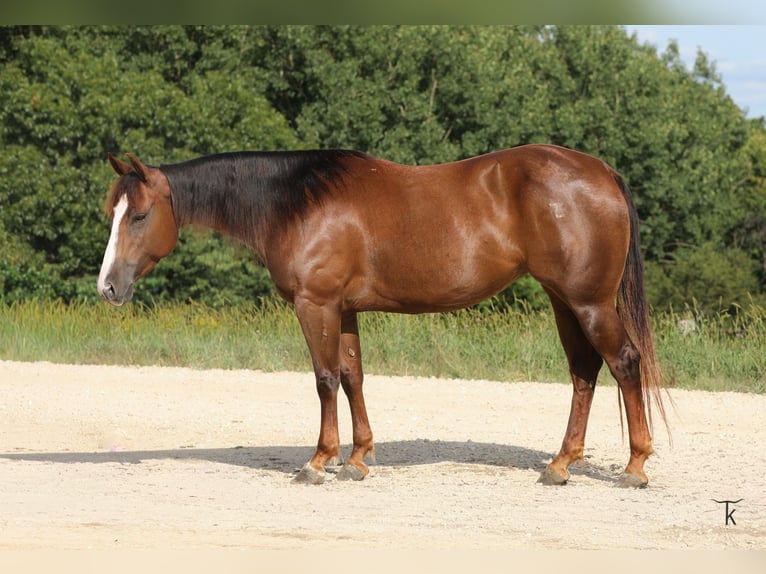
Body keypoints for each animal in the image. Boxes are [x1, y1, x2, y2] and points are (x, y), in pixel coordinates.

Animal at [97, 144, 668, 487]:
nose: (108, 287)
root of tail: (603, 172)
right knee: (584, 373)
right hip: (563, 300)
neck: (299, 204)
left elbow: (325, 379)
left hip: (588, 302)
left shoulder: (316, 305)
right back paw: (561, 464)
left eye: (140, 215)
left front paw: (319, 460)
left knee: (624, 363)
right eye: (113, 214)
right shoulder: (345, 309)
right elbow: (353, 376)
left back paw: (635, 466)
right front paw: (357, 458)